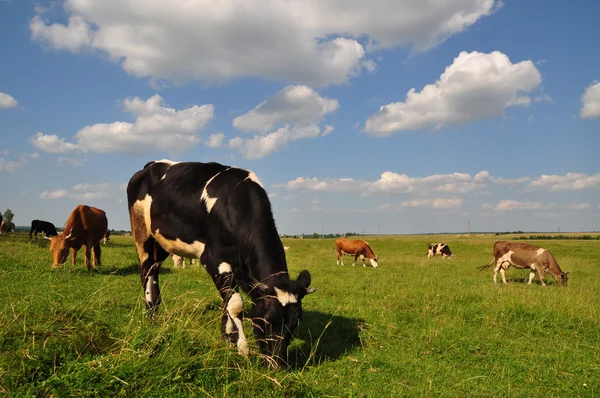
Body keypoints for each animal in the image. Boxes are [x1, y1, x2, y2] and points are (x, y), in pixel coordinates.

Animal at [125, 159, 316, 366]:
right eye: (267, 320)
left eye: (295, 323)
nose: (277, 364)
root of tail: (150, 165)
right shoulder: (213, 258)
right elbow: (235, 304)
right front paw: (242, 348)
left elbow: (228, 301)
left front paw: (227, 336)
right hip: (141, 232)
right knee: (146, 271)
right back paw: (150, 316)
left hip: (161, 242)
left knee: (154, 268)